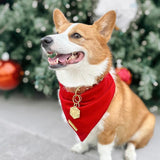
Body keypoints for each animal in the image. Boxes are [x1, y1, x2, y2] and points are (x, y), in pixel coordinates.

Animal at [41, 9, 155, 160]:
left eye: (76, 35)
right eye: (57, 32)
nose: (44, 40)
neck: (80, 86)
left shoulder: (107, 131)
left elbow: (104, 149)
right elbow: (82, 140)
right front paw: (81, 148)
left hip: (145, 127)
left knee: (132, 143)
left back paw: (130, 153)